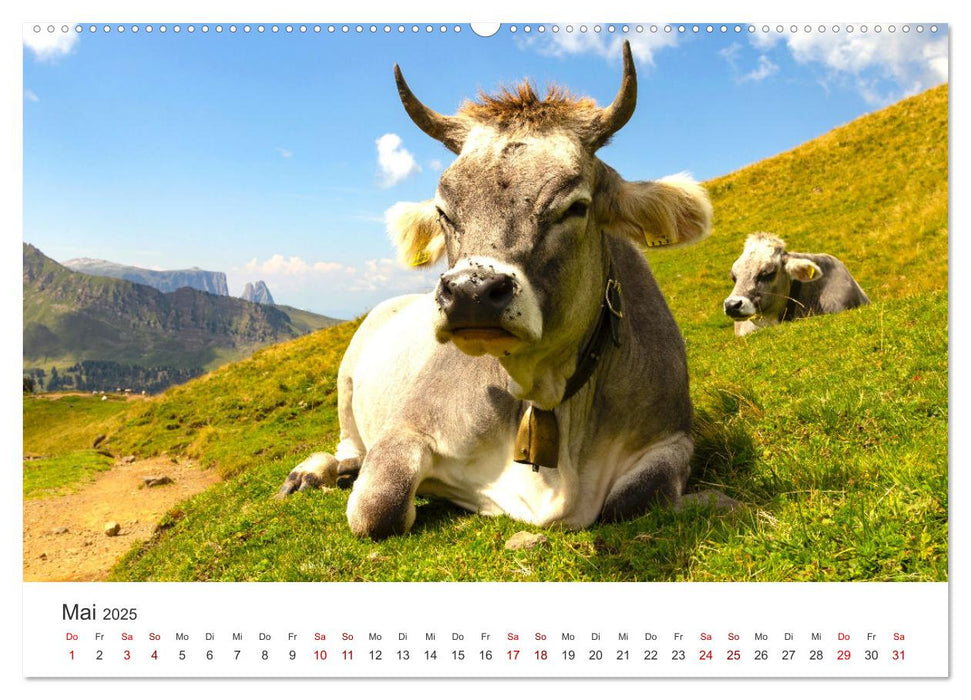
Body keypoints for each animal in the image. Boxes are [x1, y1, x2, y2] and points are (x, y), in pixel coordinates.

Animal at [278, 41, 712, 540]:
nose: (472, 292)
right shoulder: (407, 427)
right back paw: (320, 469)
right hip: (347, 376)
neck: (545, 392)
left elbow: (634, 500)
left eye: (576, 207)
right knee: (348, 443)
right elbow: (377, 508)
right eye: (443, 211)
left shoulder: (673, 436)